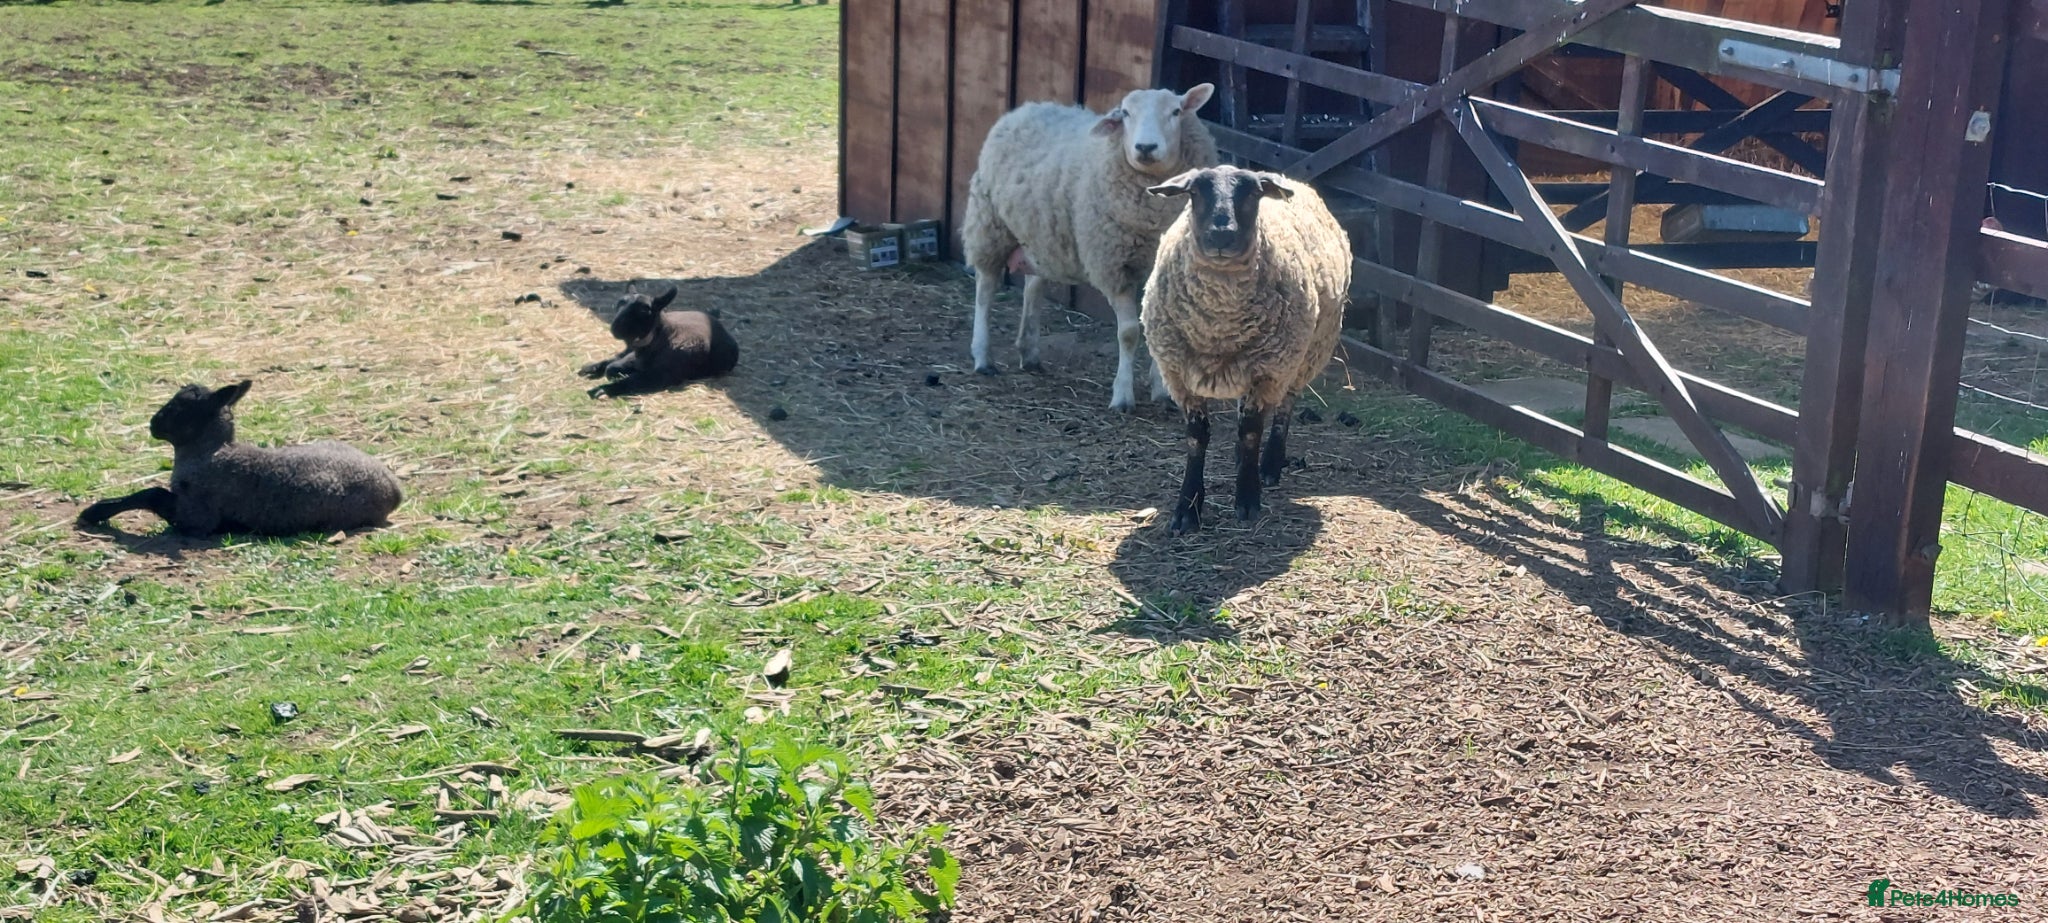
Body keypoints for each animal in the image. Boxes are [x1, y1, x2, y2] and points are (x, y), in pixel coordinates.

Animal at [76, 379, 403, 537]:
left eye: (182, 407)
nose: (153, 424)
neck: (210, 453)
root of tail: (395, 489)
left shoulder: (196, 519)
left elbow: (151, 493)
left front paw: (95, 512)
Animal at [577, 286, 738, 398]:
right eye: (619, 303)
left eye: (644, 310)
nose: (615, 328)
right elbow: (613, 366)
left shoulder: (661, 375)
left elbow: (630, 379)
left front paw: (603, 389)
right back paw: (591, 368)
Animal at [959, 82, 1218, 412]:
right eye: (1125, 113)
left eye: (1175, 111)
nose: (1145, 148)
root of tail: (1028, 108)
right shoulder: (1114, 267)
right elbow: (1129, 333)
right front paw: (1122, 396)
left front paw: (1163, 392)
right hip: (990, 223)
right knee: (986, 287)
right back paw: (983, 357)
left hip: (1041, 234)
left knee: (1033, 286)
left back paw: (1029, 352)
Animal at [1139, 165, 1351, 534]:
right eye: (1195, 192)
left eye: (1253, 193)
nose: (1222, 236)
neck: (1219, 323)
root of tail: (1291, 180)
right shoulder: (1178, 375)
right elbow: (1197, 439)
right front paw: (1187, 509)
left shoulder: (1267, 371)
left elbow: (1252, 432)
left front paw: (1248, 498)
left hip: (1303, 356)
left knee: (1284, 408)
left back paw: (1270, 465)